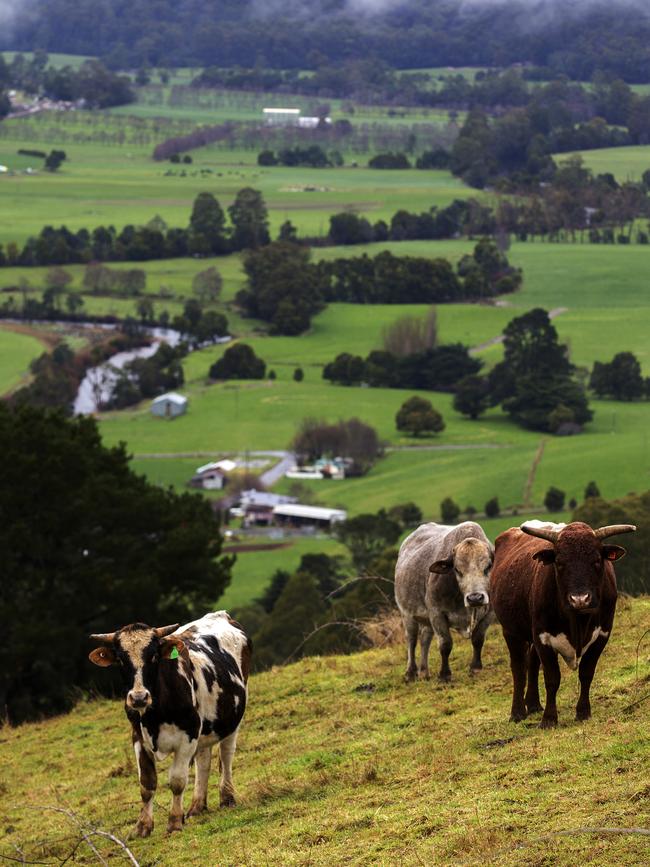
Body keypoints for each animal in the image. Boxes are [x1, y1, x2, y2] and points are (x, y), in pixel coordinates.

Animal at [86, 612, 248, 836]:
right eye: (120, 659)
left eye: (154, 655)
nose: (138, 697)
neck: (154, 714)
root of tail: (220, 615)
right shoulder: (138, 738)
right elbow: (147, 784)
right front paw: (143, 826)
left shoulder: (188, 735)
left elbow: (177, 781)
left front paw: (174, 822)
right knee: (203, 760)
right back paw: (197, 806)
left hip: (232, 718)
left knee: (226, 754)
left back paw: (227, 797)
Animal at [392, 524, 494, 684]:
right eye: (457, 569)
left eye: (488, 566)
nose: (475, 598)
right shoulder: (437, 613)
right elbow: (445, 644)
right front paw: (445, 674)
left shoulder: (490, 613)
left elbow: (478, 639)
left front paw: (475, 668)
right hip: (407, 614)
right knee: (412, 640)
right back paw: (411, 672)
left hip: (426, 620)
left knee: (425, 639)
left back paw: (424, 672)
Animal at [492, 524, 632, 732]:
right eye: (559, 562)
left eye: (596, 561)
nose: (580, 599)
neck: (578, 621)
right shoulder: (543, 637)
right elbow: (552, 679)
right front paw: (549, 719)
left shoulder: (602, 635)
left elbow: (586, 674)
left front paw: (583, 712)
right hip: (511, 631)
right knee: (519, 669)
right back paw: (518, 712)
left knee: (532, 663)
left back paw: (533, 704)